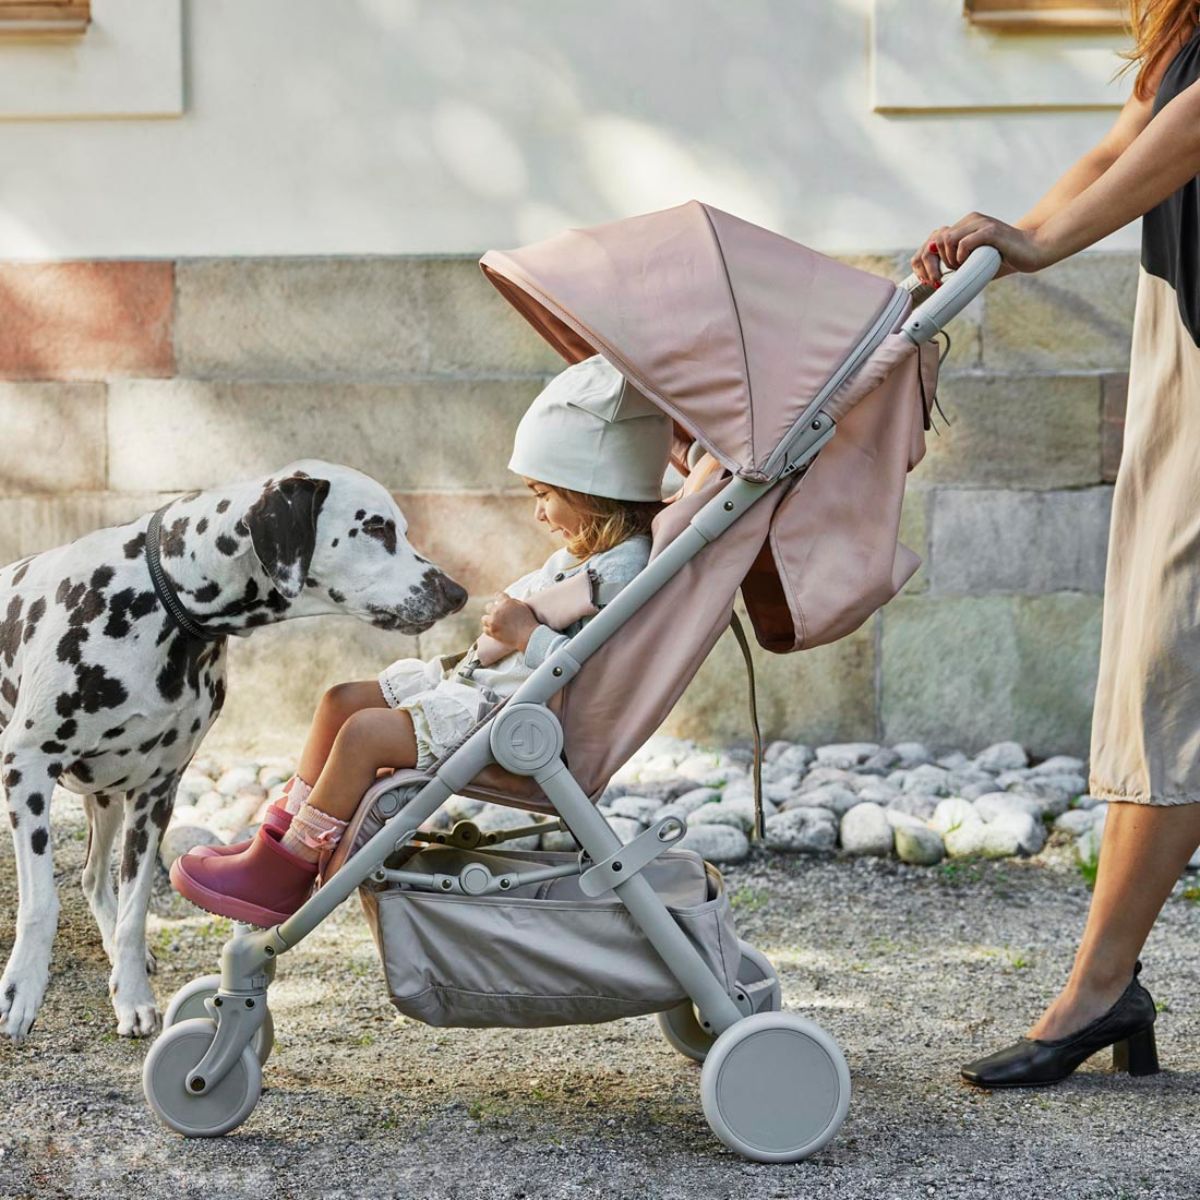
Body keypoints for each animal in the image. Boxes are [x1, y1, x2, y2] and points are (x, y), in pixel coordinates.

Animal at [0, 458, 465, 1041]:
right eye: (377, 527)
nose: (456, 592)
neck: (163, 602)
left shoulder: (156, 793)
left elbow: (133, 909)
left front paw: (132, 993)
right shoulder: (27, 769)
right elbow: (41, 904)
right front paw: (22, 991)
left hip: (106, 792)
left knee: (92, 877)